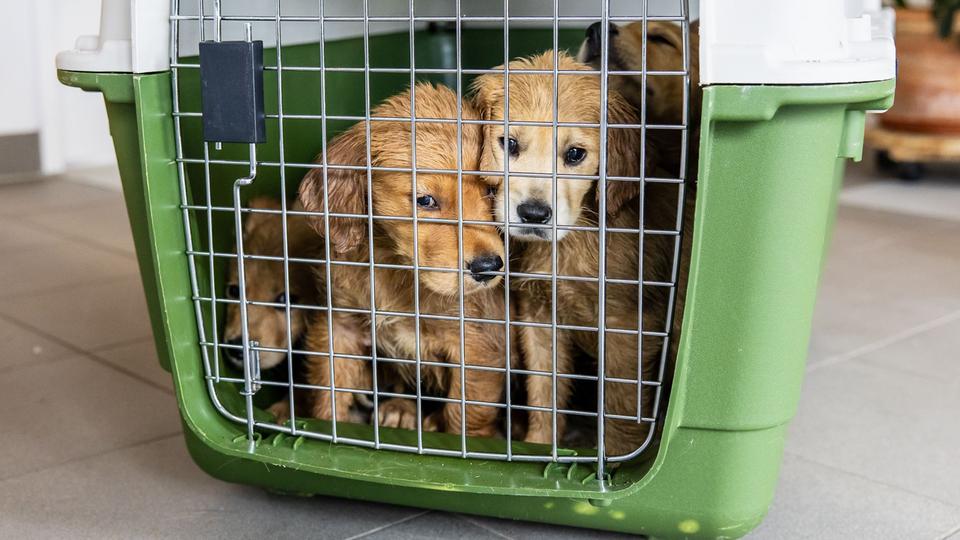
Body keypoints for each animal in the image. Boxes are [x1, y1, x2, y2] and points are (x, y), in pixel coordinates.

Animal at [294, 83, 506, 438]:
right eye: (425, 200)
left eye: (492, 192)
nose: (489, 267)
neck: (397, 269)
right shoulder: (339, 325)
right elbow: (329, 390)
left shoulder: (477, 347)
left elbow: (464, 417)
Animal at [470, 49, 688, 456]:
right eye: (509, 144)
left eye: (575, 154)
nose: (533, 214)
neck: (569, 245)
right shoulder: (539, 317)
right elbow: (544, 391)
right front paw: (539, 445)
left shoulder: (626, 328)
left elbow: (620, 408)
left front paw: (616, 458)